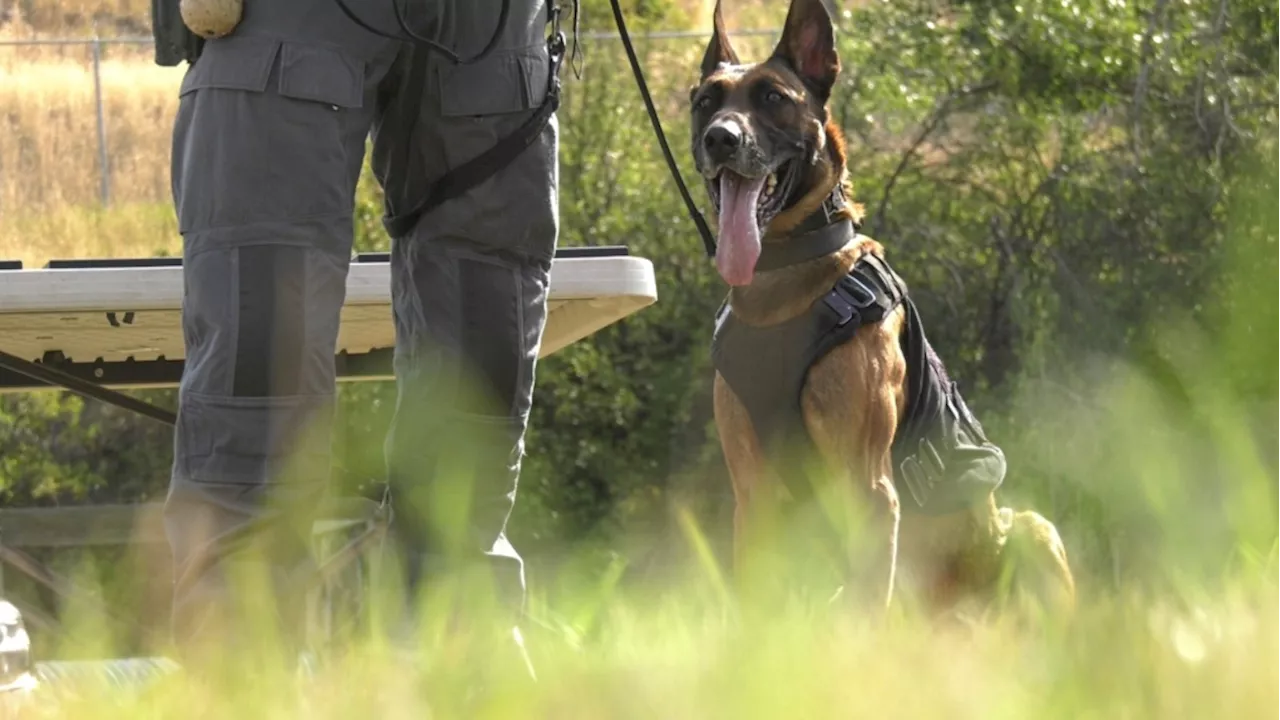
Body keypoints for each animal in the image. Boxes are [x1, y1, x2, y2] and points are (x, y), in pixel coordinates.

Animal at [691, 0, 1070, 617]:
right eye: (705, 102)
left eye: (772, 97)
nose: (720, 139)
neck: (782, 281)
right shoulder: (753, 496)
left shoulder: (868, 488)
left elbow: (868, 611)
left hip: (1031, 527)